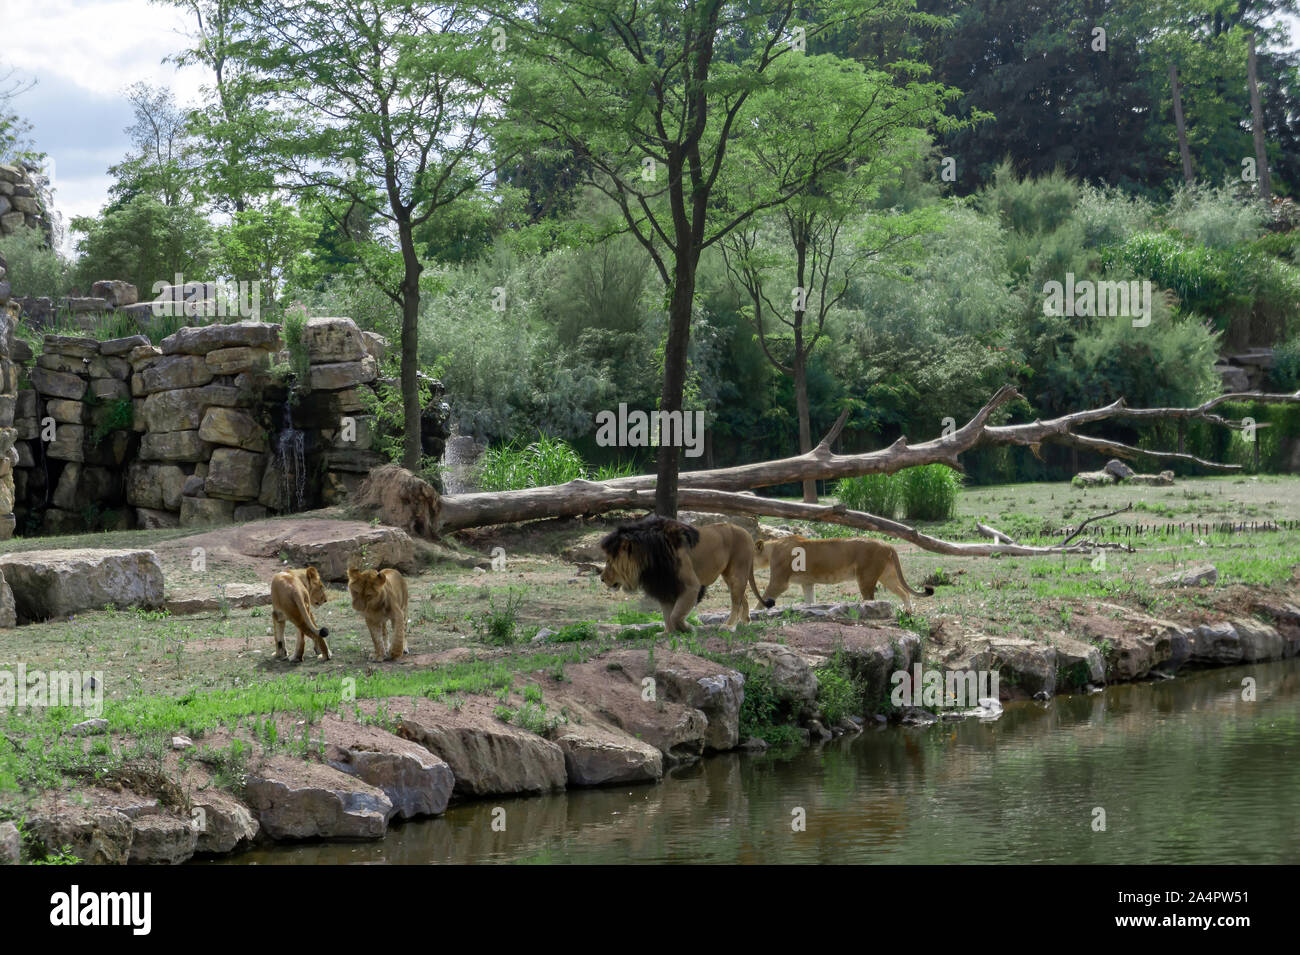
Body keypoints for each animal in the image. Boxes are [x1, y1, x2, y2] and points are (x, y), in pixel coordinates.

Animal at [598, 514, 769, 634]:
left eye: (608, 561)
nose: (601, 578)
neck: (649, 559)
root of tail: (746, 533)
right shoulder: (665, 585)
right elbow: (667, 614)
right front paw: (667, 633)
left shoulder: (691, 586)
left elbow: (675, 615)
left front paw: (688, 628)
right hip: (729, 575)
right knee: (742, 596)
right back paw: (745, 621)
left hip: (737, 573)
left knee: (736, 601)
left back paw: (728, 626)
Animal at [754, 537, 935, 613]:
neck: (771, 549)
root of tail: (887, 544)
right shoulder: (808, 583)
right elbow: (810, 601)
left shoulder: (779, 582)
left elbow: (762, 600)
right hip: (887, 576)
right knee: (904, 592)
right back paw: (908, 613)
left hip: (865, 578)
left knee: (871, 600)